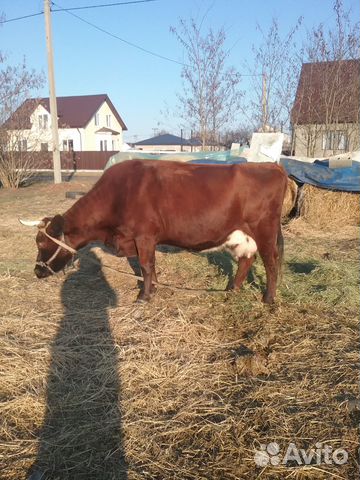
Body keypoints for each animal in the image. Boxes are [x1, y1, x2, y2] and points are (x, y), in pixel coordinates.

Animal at [21, 161, 286, 304]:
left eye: (42, 243)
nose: (37, 272)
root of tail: (273, 166)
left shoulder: (144, 235)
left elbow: (146, 265)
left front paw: (144, 296)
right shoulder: (144, 240)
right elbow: (149, 265)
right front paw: (155, 288)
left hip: (265, 230)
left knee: (271, 262)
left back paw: (268, 298)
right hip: (241, 235)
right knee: (246, 259)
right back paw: (232, 290)